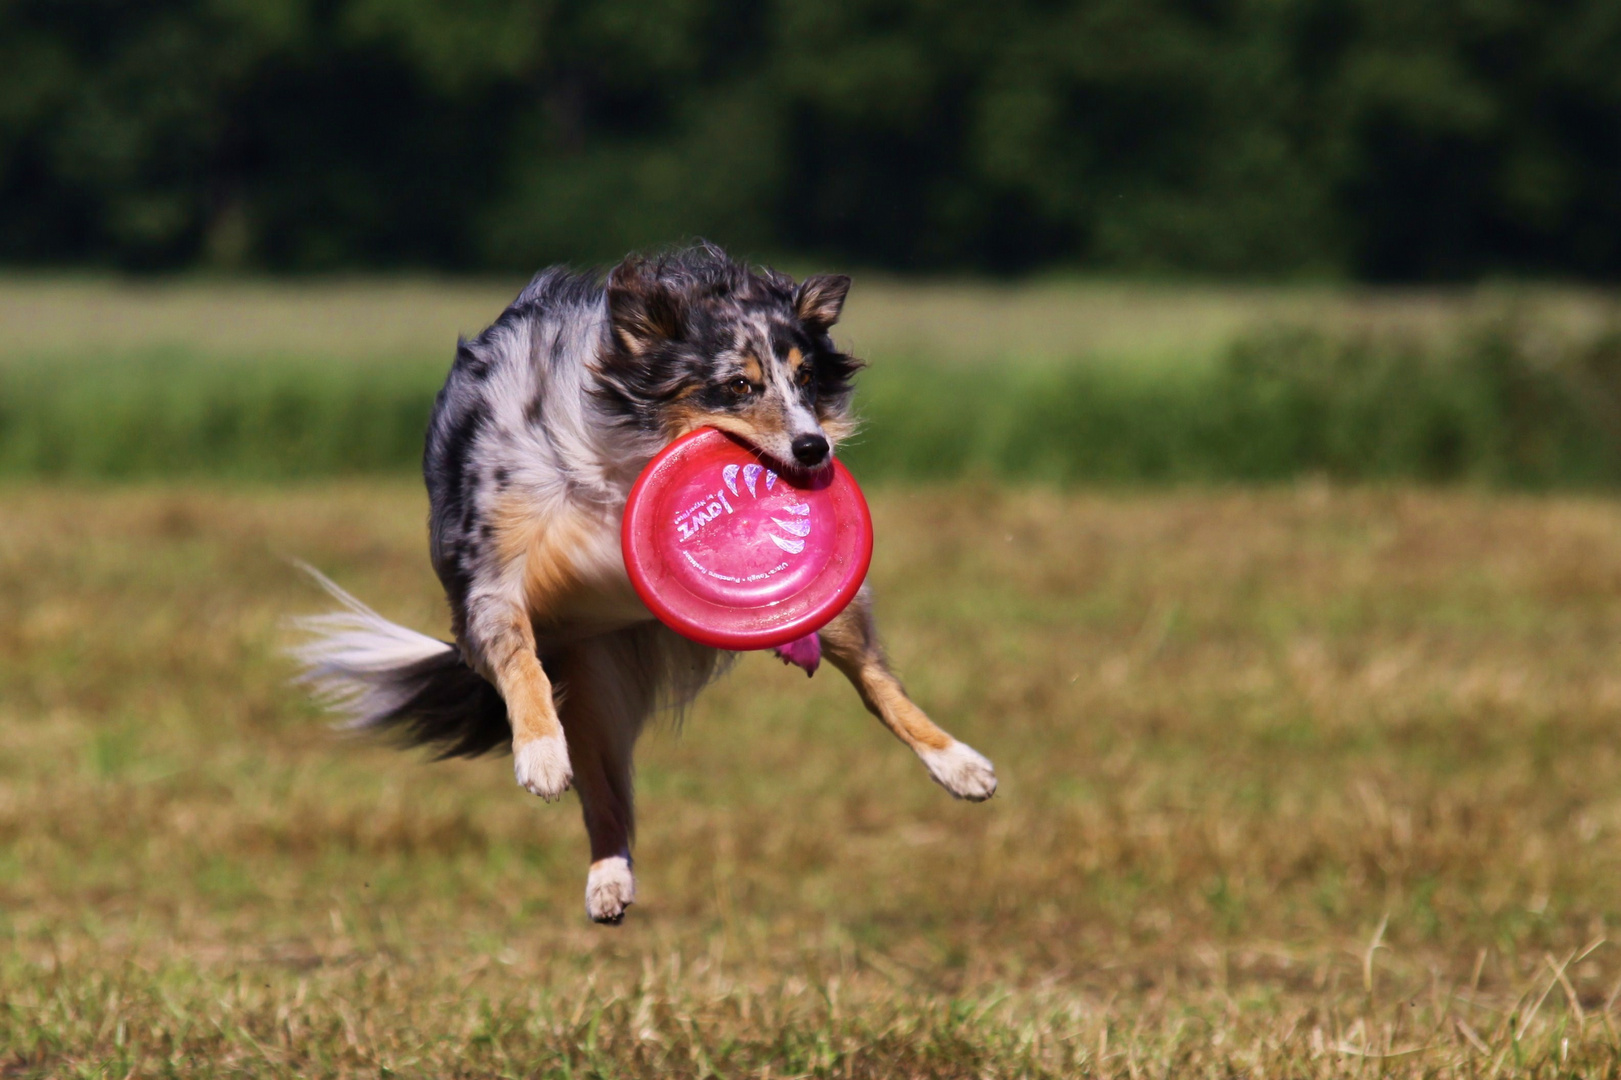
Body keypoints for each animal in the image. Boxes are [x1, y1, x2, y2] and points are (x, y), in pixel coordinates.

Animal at [296, 241, 992, 914]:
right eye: (739, 385)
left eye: (806, 378)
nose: (815, 448)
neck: (632, 457)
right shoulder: (491, 577)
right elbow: (519, 661)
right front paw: (539, 754)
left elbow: (867, 672)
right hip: (590, 680)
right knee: (600, 788)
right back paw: (606, 876)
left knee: (875, 683)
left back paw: (959, 764)